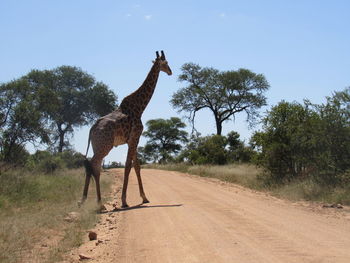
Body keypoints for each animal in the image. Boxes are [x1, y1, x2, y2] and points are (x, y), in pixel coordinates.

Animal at [79, 50, 172, 209]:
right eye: (165, 63)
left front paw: (144, 198)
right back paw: (97, 203)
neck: (139, 108)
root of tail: (92, 129)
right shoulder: (135, 137)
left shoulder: (131, 140)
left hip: (97, 146)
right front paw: (124, 201)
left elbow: (137, 166)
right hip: (104, 146)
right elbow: (128, 166)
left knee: (92, 166)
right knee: (94, 165)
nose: (171, 72)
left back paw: (87, 201)